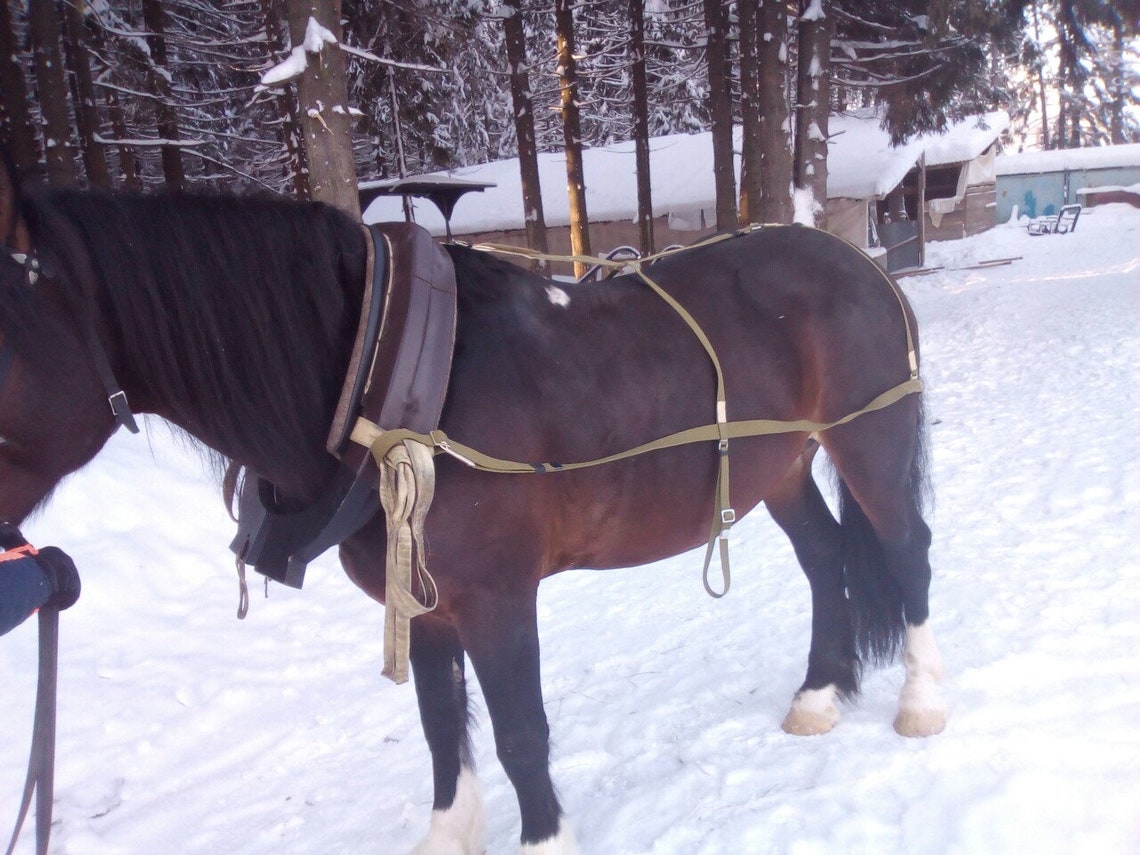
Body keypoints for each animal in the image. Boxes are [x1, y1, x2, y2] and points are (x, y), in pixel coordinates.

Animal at [0, 156, 946, 854]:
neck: (391, 379)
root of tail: (860, 263)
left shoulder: (496, 596)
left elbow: (519, 731)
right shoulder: (421, 601)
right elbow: (439, 725)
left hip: (868, 442)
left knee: (908, 551)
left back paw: (921, 704)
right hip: (777, 467)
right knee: (826, 558)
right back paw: (820, 693)